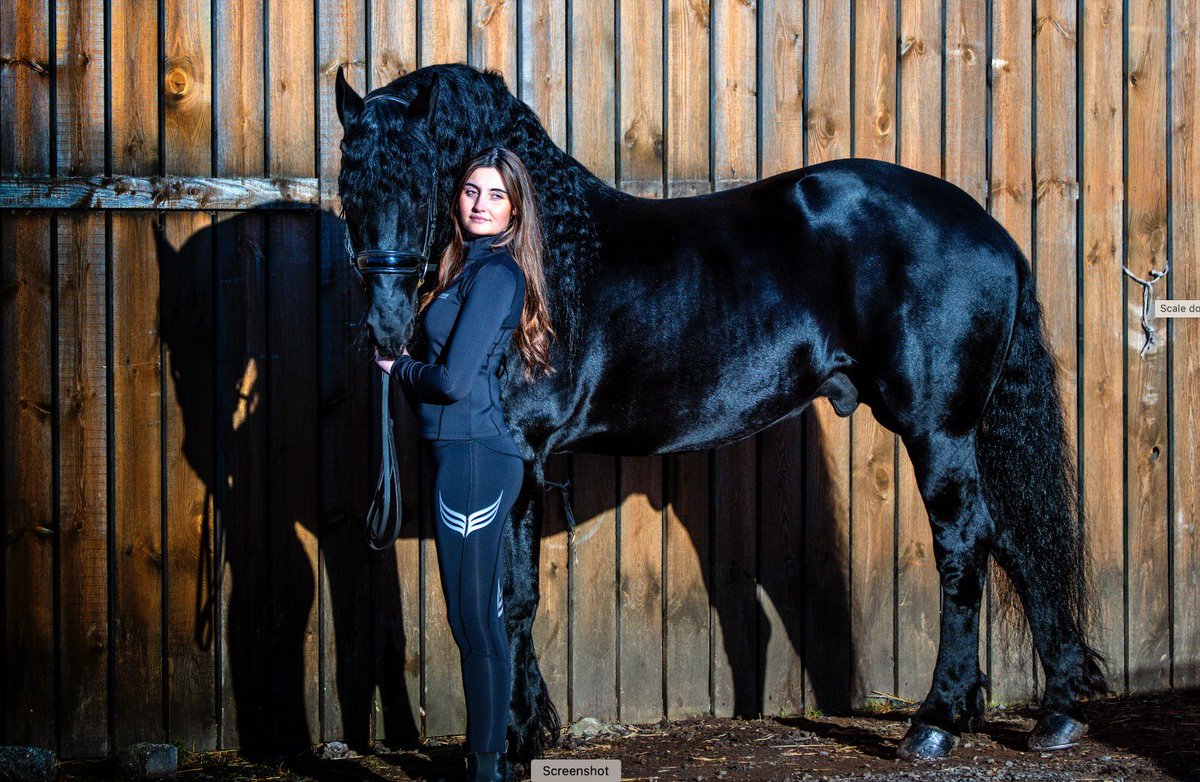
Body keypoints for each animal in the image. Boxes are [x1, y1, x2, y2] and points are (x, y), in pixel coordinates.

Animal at [333, 61, 1108, 763]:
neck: (552, 263)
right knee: (1016, 537)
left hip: (938, 429)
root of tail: (995, 236)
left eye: (424, 182)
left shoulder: (521, 456)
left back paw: (937, 722)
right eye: (348, 186)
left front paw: (518, 740)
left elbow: (513, 599)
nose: (386, 331)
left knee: (965, 543)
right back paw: (1057, 713)